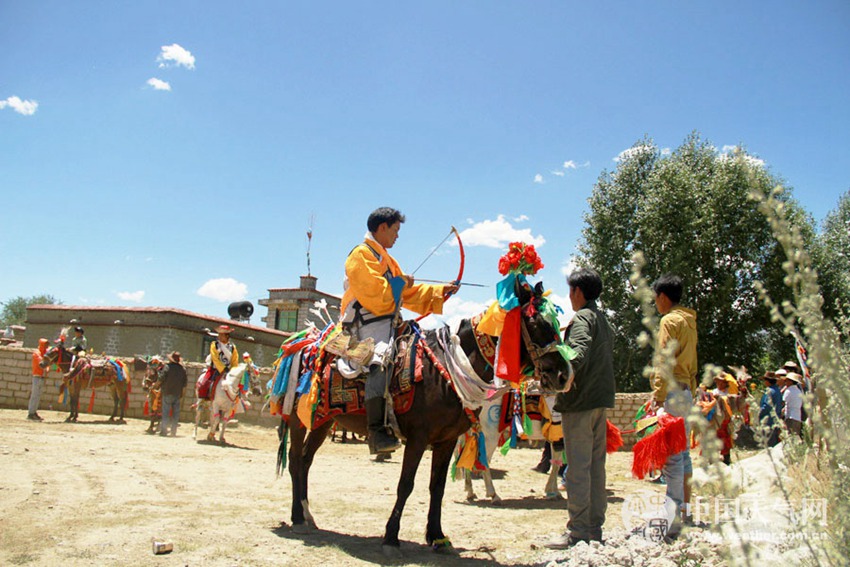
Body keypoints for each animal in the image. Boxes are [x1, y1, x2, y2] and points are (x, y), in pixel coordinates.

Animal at [276, 282, 568, 556]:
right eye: (535, 322)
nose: (564, 374)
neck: (445, 369)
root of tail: (301, 344)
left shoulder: (445, 441)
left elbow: (437, 487)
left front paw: (437, 537)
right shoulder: (418, 439)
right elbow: (406, 485)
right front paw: (391, 538)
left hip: (322, 421)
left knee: (306, 461)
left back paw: (307, 515)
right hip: (299, 420)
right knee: (295, 461)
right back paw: (297, 518)